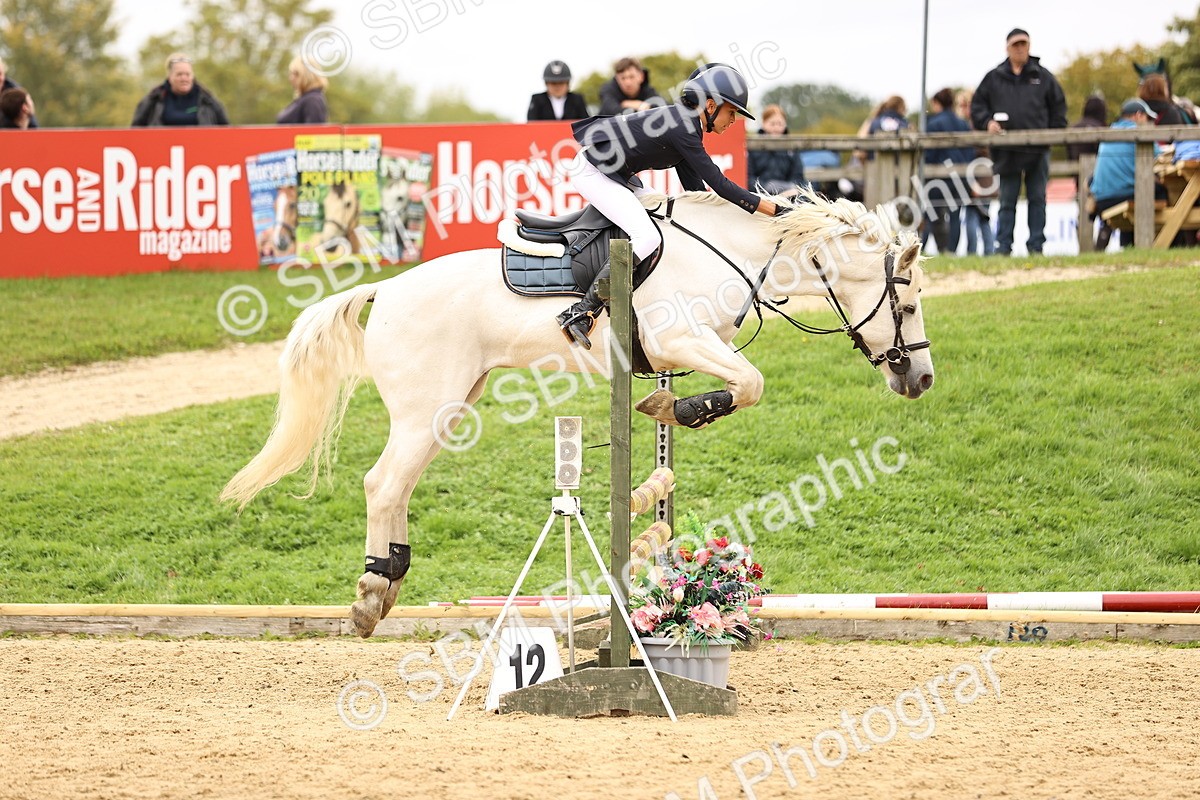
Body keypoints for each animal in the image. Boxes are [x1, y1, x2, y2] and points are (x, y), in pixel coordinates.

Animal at [220, 187, 935, 638]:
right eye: (907, 305)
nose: (921, 379)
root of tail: (385, 287)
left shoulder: (693, 347)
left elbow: (739, 386)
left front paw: (677, 407)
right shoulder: (680, 340)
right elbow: (750, 383)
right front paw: (682, 405)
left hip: (450, 407)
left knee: (396, 484)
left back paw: (389, 580)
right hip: (429, 407)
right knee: (383, 482)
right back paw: (372, 595)